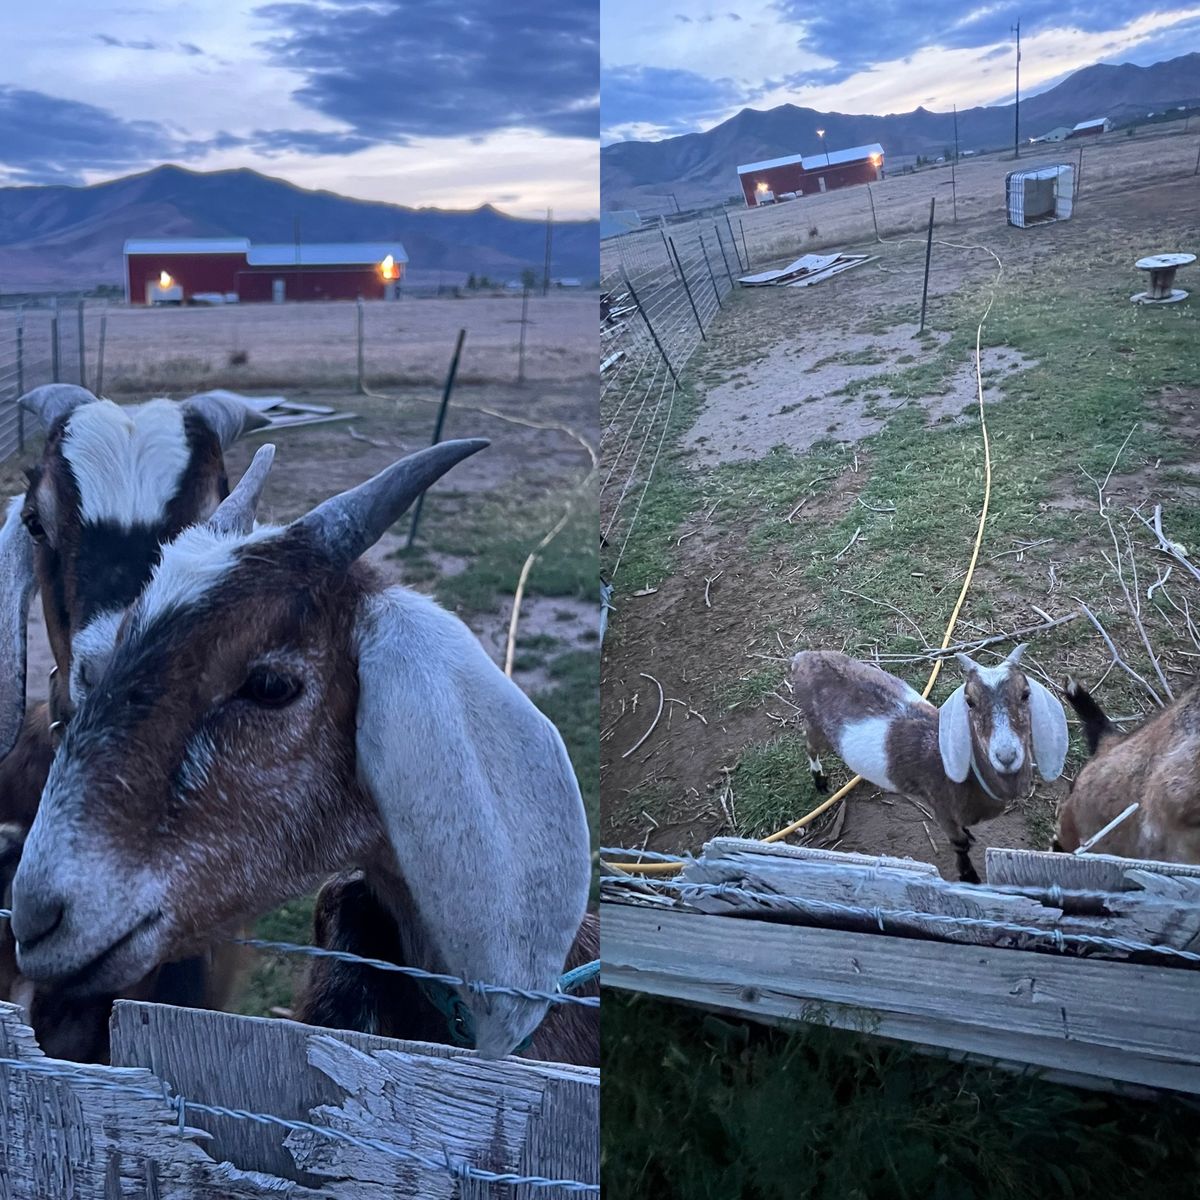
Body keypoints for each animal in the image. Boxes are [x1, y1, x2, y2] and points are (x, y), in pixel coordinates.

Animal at [790, 645, 1069, 882]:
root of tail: (802, 658)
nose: (1006, 756)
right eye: (969, 700)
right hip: (818, 728)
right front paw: (970, 877)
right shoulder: (940, 807)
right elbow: (959, 844)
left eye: (1025, 694)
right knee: (808, 743)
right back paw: (820, 782)